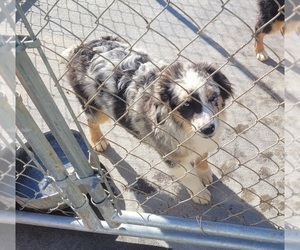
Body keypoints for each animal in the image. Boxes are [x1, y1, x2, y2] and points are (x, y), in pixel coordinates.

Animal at [62, 36, 233, 205]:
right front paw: (199, 193)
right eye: (186, 105)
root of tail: (81, 47)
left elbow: (202, 155)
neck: (183, 126)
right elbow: (188, 176)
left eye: (213, 97)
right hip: (97, 108)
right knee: (90, 119)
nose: (208, 129)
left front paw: (204, 172)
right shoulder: (170, 154)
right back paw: (98, 140)